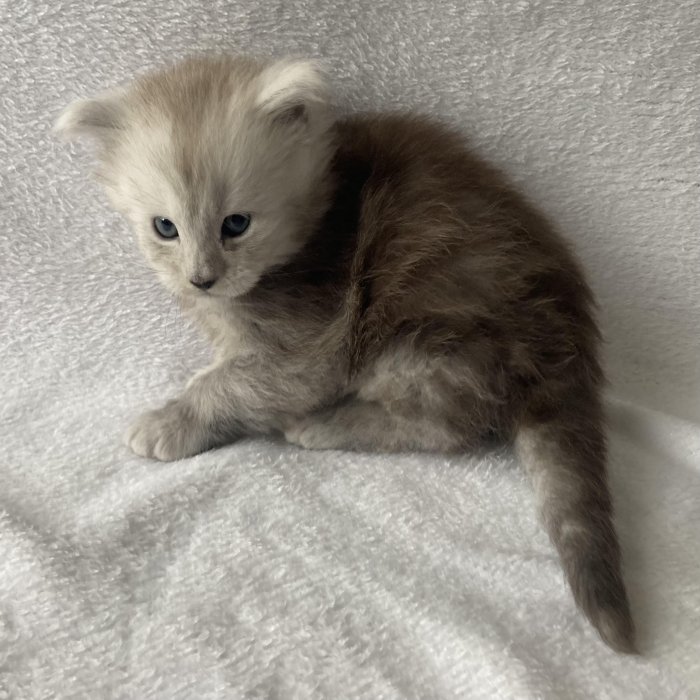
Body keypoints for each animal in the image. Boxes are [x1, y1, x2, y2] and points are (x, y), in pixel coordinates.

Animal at [56, 54, 635, 653]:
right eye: (164, 228)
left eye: (236, 224)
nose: (201, 279)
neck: (320, 215)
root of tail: (566, 349)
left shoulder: (315, 340)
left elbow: (231, 384)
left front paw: (171, 421)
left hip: (424, 338)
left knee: (444, 425)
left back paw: (327, 424)